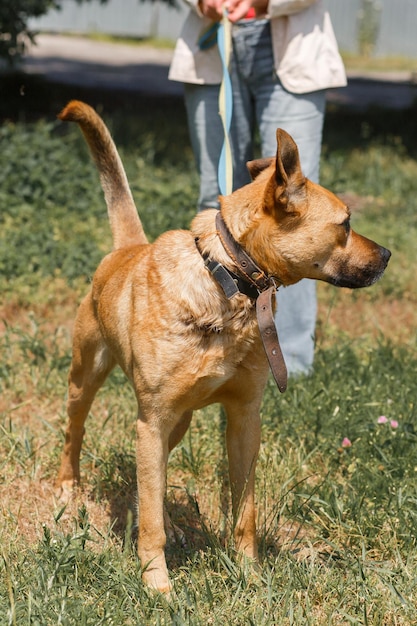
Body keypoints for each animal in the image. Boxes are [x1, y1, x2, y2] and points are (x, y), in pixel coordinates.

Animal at [56, 101, 390, 588]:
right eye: (345, 225)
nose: (387, 255)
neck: (227, 283)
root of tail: (128, 249)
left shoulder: (244, 417)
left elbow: (243, 510)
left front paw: (250, 574)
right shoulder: (151, 420)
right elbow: (151, 519)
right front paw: (157, 584)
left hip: (178, 423)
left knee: (152, 481)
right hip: (88, 378)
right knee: (77, 433)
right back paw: (67, 487)